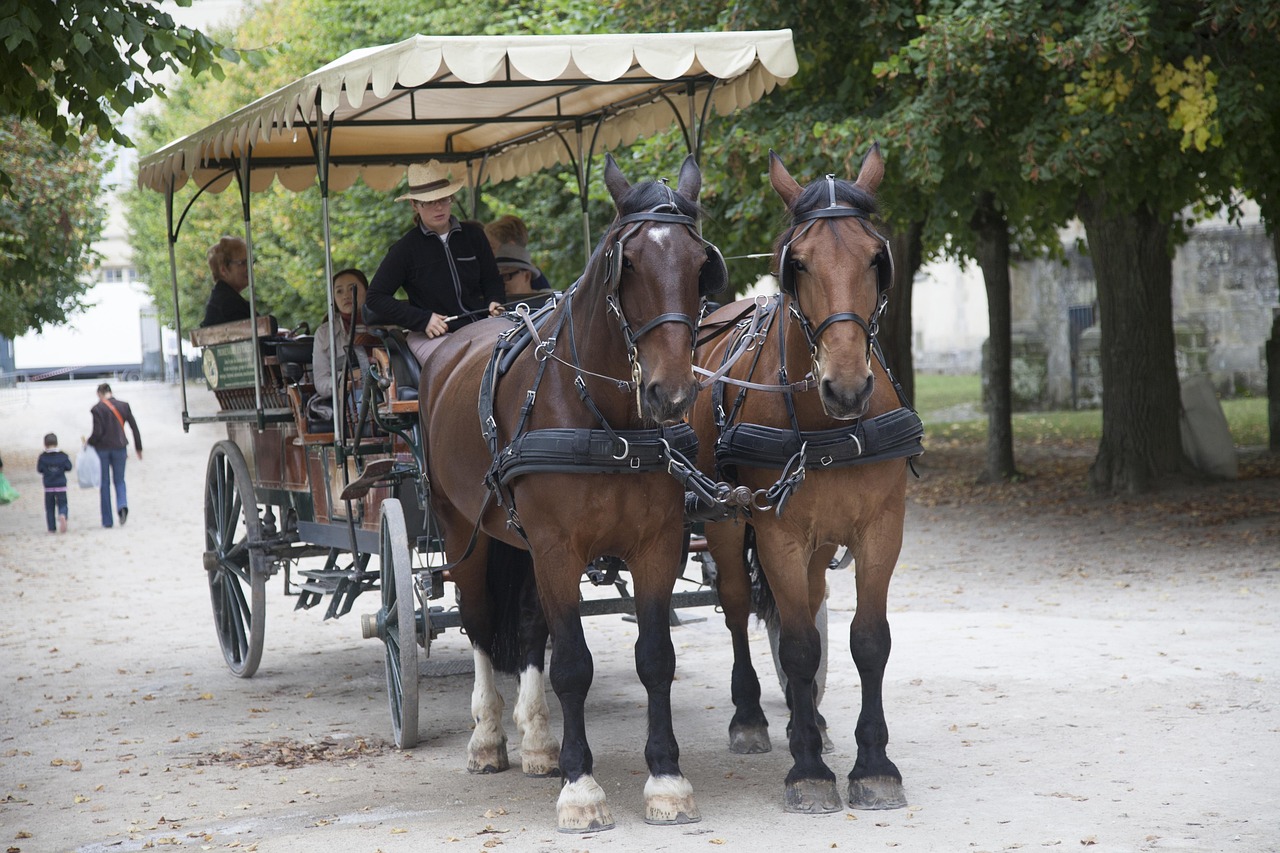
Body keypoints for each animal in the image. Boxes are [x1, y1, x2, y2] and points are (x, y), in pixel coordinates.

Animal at [417, 154, 727, 829]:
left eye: (700, 264)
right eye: (626, 262)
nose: (670, 393)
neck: (608, 419)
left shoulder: (656, 545)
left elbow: (655, 656)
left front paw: (666, 778)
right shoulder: (558, 548)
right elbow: (574, 666)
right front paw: (581, 787)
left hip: (521, 543)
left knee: (530, 628)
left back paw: (537, 742)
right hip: (463, 531)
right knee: (480, 624)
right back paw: (488, 739)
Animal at [691, 146, 921, 809]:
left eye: (877, 258)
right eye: (796, 263)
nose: (846, 387)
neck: (828, 425)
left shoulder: (881, 529)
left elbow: (867, 641)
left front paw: (874, 763)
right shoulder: (777, 533)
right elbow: (795, 644)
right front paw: (809, 769)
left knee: (811, 605)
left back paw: (808, 719)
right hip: (724, 520)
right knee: (739, 607)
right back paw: (753, 717)